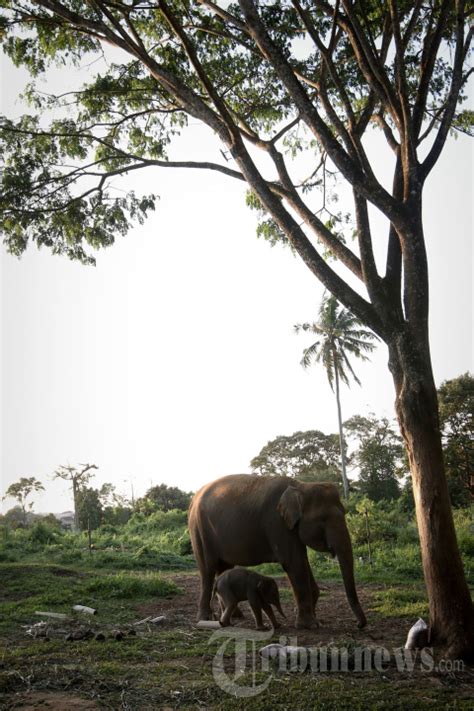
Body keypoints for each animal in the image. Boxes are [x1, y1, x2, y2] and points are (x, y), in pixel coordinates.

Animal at [189, 478, 366, 628]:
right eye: (323, 519)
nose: (359, 625)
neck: (301, 486)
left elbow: (303, 562)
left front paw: (313, 619)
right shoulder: (277, 523)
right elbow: (294, 563)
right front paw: (309, 625)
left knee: (224, 568)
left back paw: (236, 616)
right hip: (199, 531)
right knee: (208, 570)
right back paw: (206, 618)